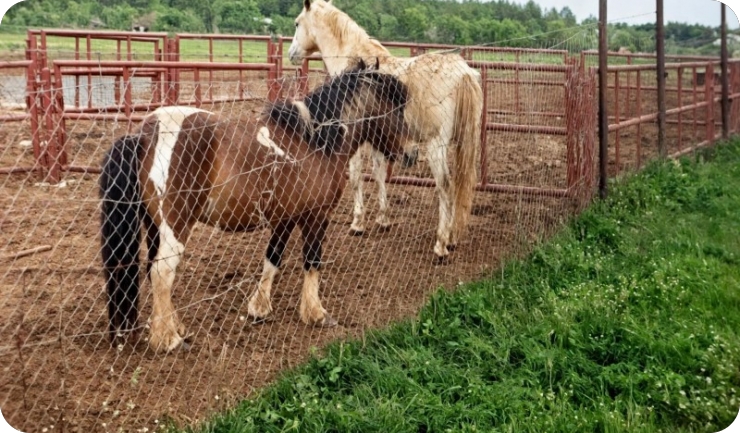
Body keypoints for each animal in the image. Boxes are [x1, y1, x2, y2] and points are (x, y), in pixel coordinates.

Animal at [99, 59, 412, 352]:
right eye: (396, 109)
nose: (413, 153)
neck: (315, 142)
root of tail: (143, 135)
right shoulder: (316, 217)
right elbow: (312, 262)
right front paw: (316, 313)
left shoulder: (285, 218)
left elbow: (272, 259)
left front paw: (259, 308)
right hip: (175, 226)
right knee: (162, 273)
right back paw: (168, 340)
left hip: (155, 227)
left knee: (152, 270)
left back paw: (176, 327)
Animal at [288, 0, 484, 260]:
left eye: (297, 23)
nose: (291, 54)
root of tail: (463, 73)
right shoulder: (378, 140)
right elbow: (379, 173)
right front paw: (383, 219)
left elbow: (356, 177)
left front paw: (358, 223)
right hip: (463, 143)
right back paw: (451, 238)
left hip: (436, 146)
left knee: (445, 186)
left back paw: (441, 244)